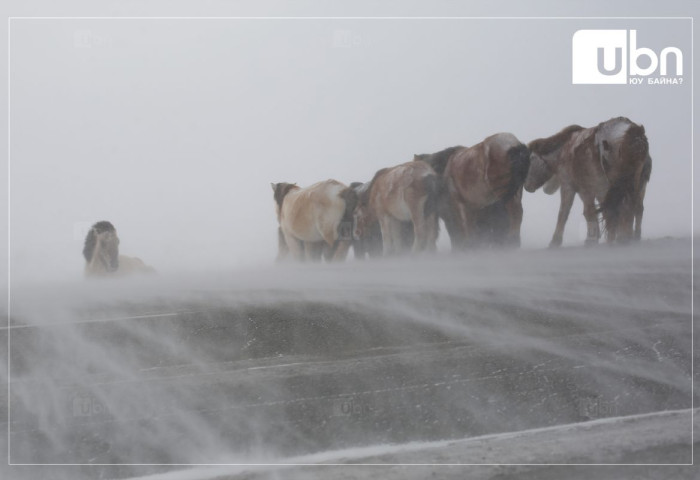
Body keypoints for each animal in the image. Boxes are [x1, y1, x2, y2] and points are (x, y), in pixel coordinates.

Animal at [524, 115, 652, 244]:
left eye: (528, 163)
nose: (527, 187)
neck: (564, 149)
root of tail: (633, 133)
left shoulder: (572, 187)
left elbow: (566, 213)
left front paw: (556, 241)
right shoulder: (591, 190)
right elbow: (594, 212)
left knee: (620, 209)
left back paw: (619, 239)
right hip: (636, 185)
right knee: (635, 208)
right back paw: (630, 237)